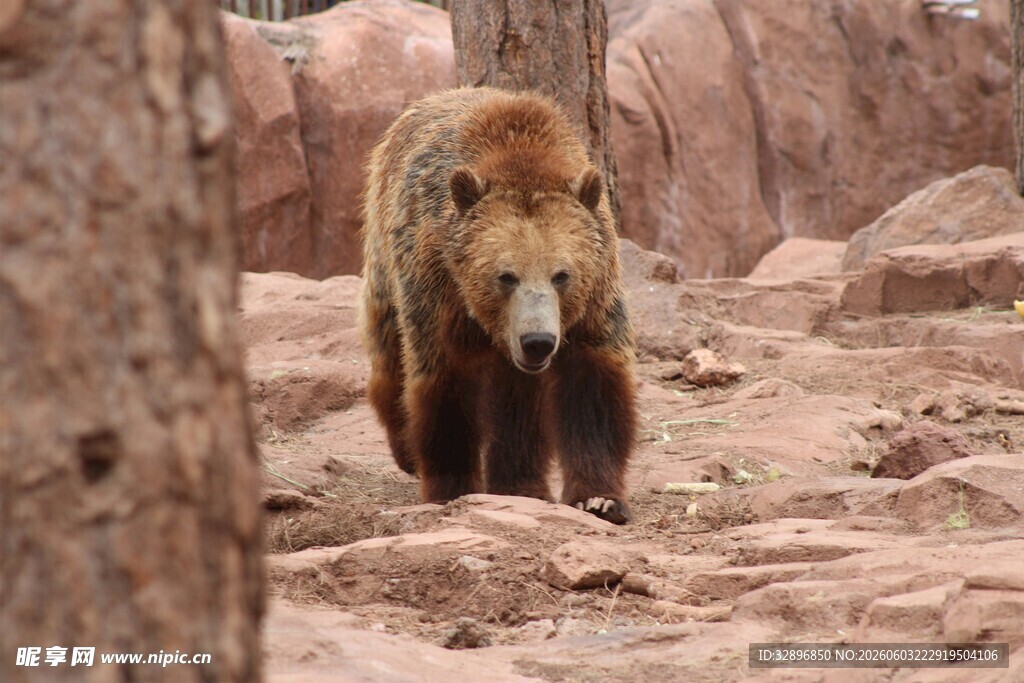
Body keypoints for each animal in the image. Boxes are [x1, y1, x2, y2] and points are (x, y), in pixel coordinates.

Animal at [359, 87, 637, 524]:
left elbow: (592, 390)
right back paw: (406, 450)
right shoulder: (438, 285)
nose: (537, 341)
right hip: (384, 253)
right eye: (506, 276)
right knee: (388, 350)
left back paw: (521, 484)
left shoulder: (596, 294)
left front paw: (599, 499)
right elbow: (445, 384)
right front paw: (452, 487)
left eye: (562, 275)